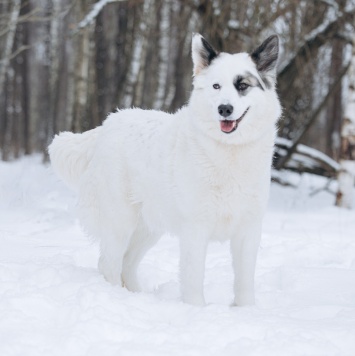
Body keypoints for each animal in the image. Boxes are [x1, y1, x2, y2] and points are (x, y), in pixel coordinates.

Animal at [48, 34, 282, 306]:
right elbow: (193, 279)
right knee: (109, 264)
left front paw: (245, 311)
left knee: (127, 264)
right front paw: (196, 310)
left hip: (148, 228)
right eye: (216, 86)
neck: (228, 152)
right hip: (120, 222)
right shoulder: (195, 229)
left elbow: (244, 283)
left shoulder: (248, 230)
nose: (224, 109)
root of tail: (107, 124)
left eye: (242, 85)